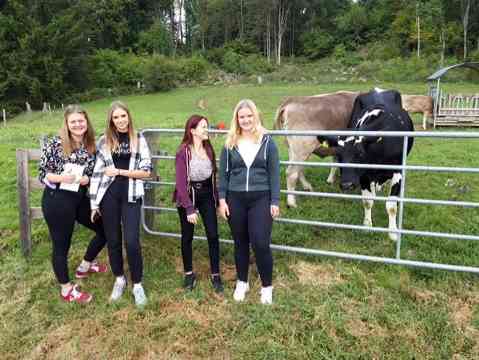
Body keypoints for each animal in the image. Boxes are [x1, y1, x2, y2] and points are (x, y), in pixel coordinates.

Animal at [322, 88, 416, 240]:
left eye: (360, 153)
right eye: (340, 156)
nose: (347, 185)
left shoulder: (398, 171)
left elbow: (391, 205)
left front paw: (393, 232)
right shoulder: (364, 175)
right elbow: (367, 201)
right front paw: (367, 225)